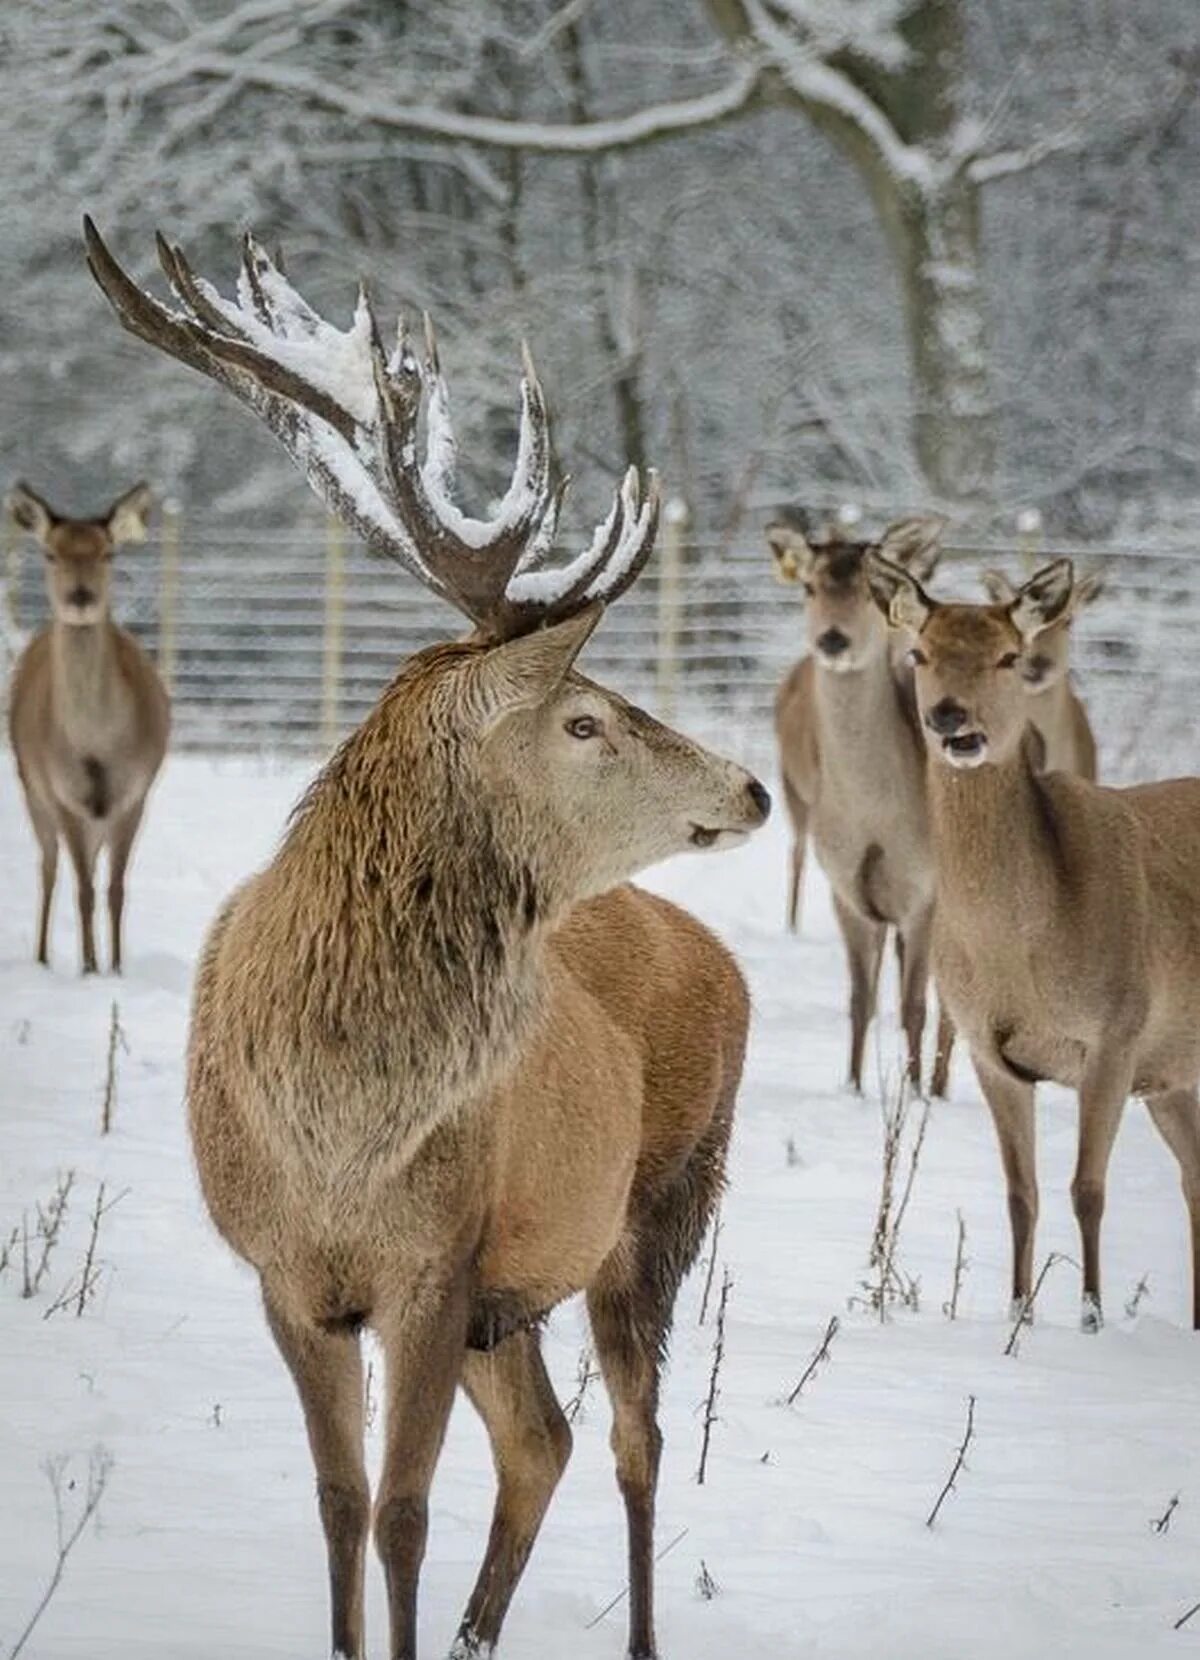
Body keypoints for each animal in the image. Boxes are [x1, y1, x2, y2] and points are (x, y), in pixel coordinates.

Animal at [5, 481, 169, 969]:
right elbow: (83, 889)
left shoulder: (136, 791)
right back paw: (42, 955)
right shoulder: (61, 793)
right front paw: (90, 967)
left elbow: (115, 889)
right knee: (49, 867)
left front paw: (114, 967)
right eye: (49, 553)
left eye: (108, 553)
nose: (81, 597)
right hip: (30, 786)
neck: (96, 746)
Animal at [89, 220, 773, 1660]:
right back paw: (474, 1633)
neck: (342, 1128)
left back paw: (630, 1636)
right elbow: (342, 1506)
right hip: (516, 1298)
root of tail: (720, 956)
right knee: (544, 1441)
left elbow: (402, 1515)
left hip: (664, 1204)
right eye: (583, 718)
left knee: (634, 1440)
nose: (753, 788)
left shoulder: (437, 1262)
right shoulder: (291, 1274)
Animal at [770, 511, 956, 1095]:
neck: (876, 818)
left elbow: (916, 1005)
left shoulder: (927, 893)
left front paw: (913, 1093)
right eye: (809, 587)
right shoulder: (847, 888)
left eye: (868, 595)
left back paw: (939, 1085)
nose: (833, 639)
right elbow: (860, 997)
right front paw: (852, 1086)